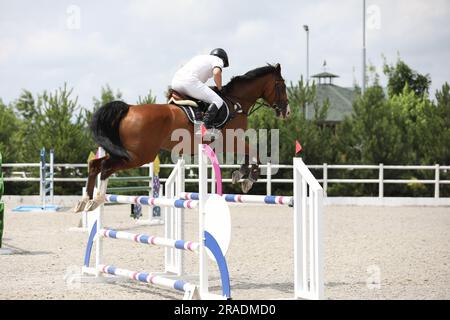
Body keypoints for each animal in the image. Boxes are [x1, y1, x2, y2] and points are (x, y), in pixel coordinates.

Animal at [75, 62, 290, 212]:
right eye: (281, 85)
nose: (286, 112)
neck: (236, 102)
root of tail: (128, 109)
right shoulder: (231, 139)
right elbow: (252, 151)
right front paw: (248, 178)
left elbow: (248, 153)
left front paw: (241, 174)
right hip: (138, 156)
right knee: (105, 167)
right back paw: (97, 199)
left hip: (127, 153)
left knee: (95, 164)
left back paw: (85, 201)